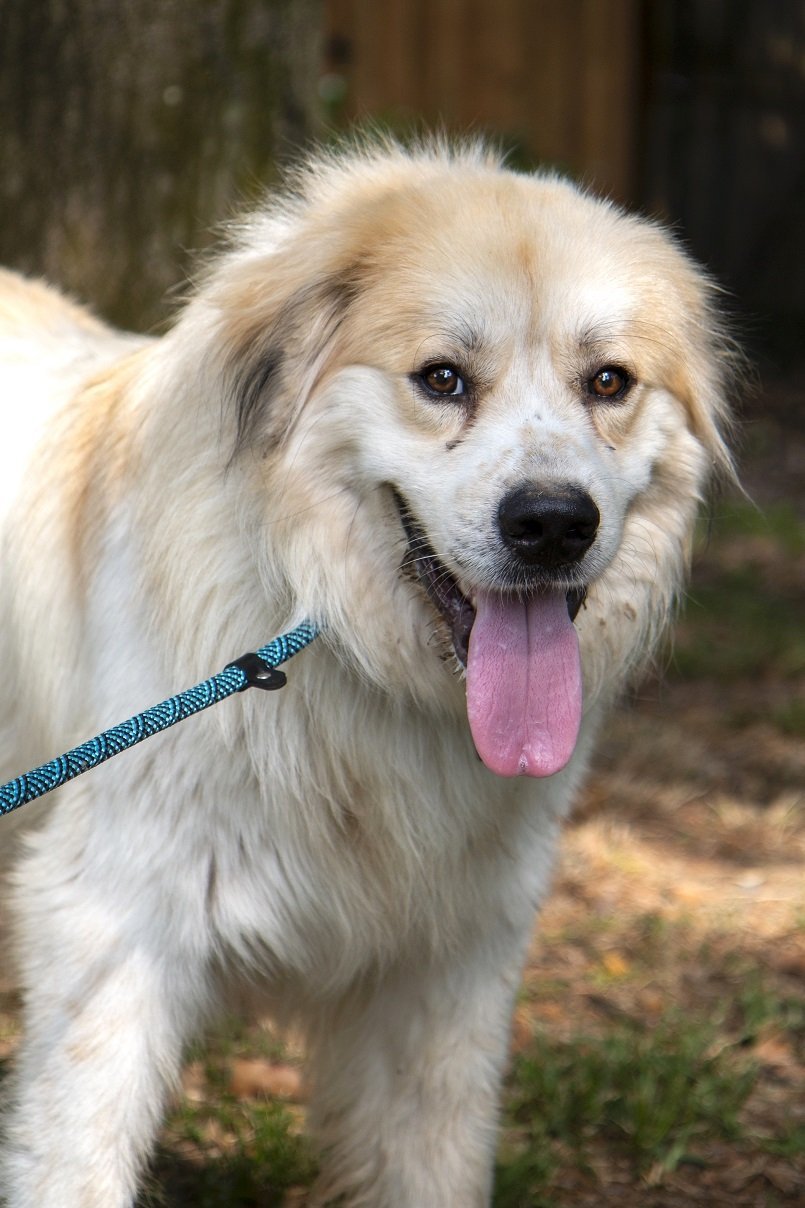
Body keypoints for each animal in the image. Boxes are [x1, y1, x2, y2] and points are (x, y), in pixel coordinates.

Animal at [0, 138, 734, 1198]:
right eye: (441, 378)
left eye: (607, 383)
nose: (553, 524)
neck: (330, 637)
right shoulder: (111, 929)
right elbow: (75, 1165)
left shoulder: (448, 974)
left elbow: (437, 1165)